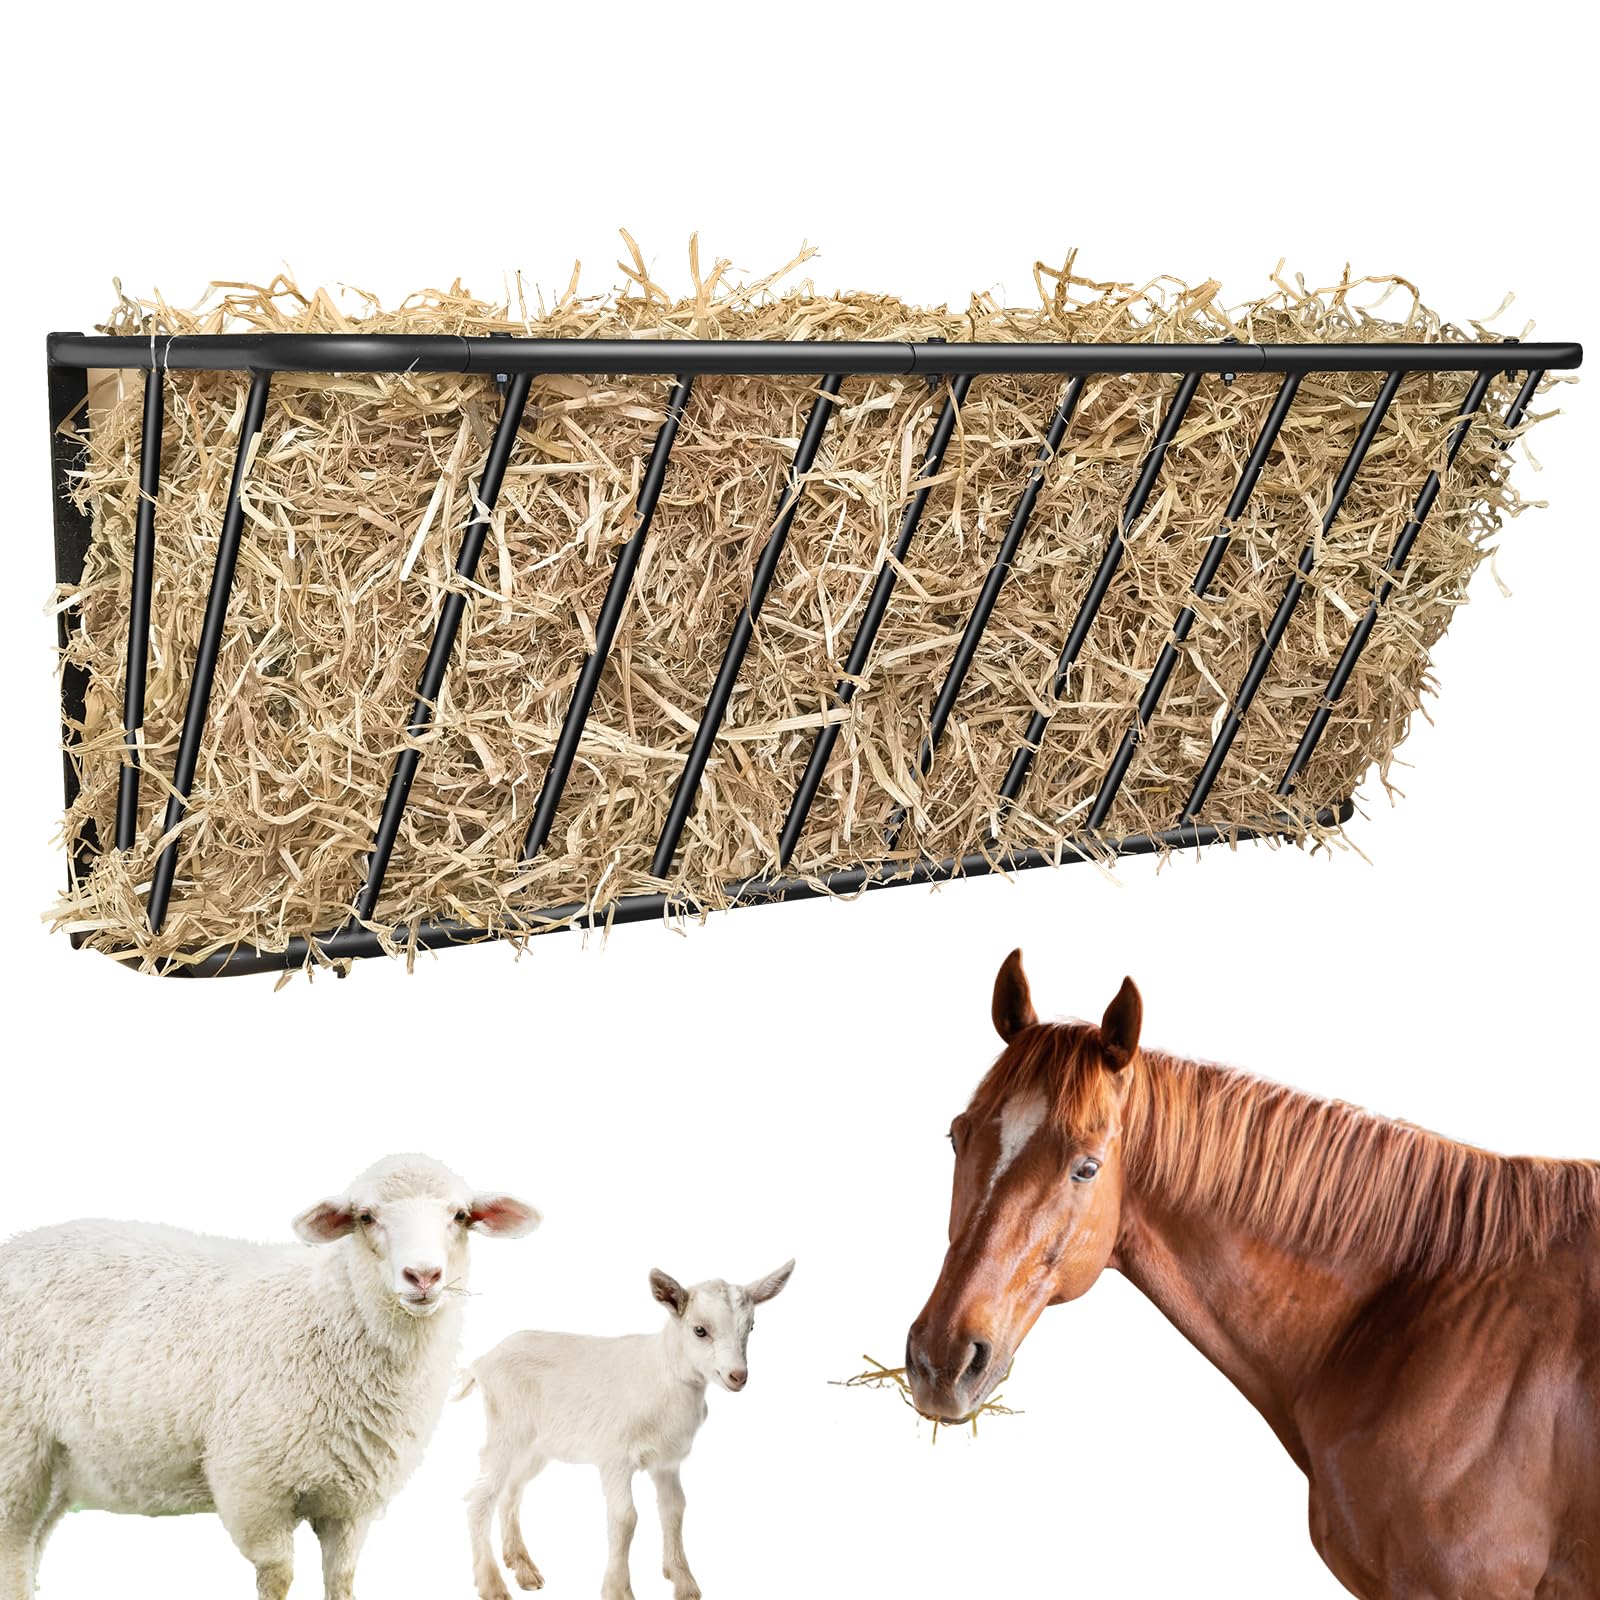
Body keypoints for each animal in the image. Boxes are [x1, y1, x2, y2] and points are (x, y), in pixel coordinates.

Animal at [0, 1153, 539, 1600]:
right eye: (366, 1216)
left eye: (460, 1215)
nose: (422, 1276)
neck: (328, 1317)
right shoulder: (252, 1488)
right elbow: (277, 1577)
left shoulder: (351, 1503)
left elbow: (342, 1580)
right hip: (15, 1446)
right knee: (12, 1545)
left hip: (57, 1462)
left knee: (31, 1546)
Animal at [461, 1259, 794, 1600]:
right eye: (700, 1330)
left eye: (751, 1327)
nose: (738, 1376)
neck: (662, 1373)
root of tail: (481, 1362)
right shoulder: (615, 1457)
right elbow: (624, 1518)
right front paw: (618, 1589)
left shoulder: (667, 1461)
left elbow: (674, 1508)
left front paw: (683, 1581)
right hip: (506, 1431)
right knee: (479, 1500)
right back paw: (492, 1584)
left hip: (536, 1447)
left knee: (510, 1493)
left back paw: (523, 1568)